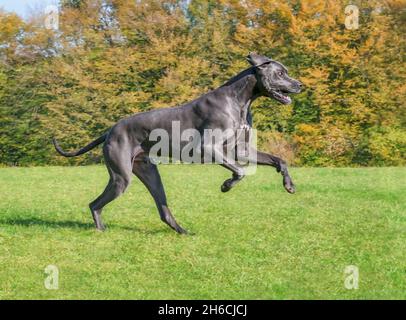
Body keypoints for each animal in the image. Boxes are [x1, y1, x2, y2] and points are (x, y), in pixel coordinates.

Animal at [53, 52, 302, 232]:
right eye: (280, 73)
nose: (300, 85)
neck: (240, 100)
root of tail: (109, 131)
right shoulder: (208, 148)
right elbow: (239, 172)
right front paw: (225, 185)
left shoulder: (240, 149)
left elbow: (279, 160)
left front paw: (289, 185)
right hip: (121, 178)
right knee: (95, 204)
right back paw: (101, 230)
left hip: (149, 173)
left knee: (163, 209)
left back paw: (182, 231)